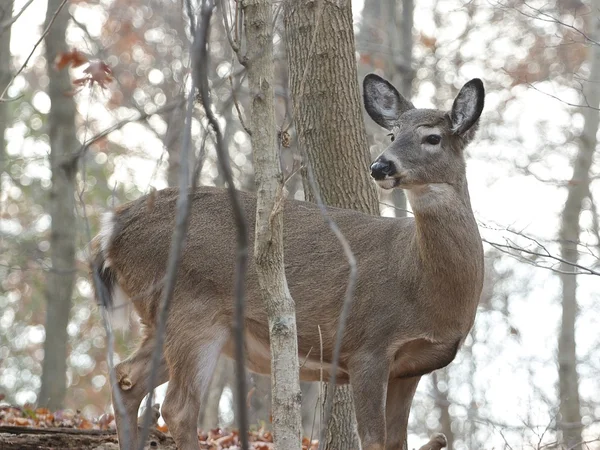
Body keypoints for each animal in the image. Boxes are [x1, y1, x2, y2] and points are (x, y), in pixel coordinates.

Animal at [91, 74, 486, 450]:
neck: (420, 280)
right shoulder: (368, 344)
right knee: (178, 407)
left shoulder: (410, 367)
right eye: (392, 133)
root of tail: (113, 228)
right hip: (190, 309)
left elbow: (395, 442)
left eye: (432, 138)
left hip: (163, 318)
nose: (380, 166)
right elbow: (373, 440)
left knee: (126, 379)